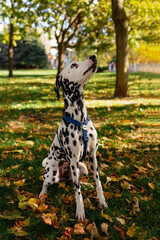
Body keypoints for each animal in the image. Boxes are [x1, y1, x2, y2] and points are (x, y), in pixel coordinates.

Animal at [39, 54, 107, 221]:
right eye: (74, 65)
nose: (93, 56)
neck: (80, 120)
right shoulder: (74, 160)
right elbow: (77, 192)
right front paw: (80, 211)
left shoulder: (92, 157)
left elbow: (98, 182)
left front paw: (102, 202)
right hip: (53, 173)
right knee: (46, 182)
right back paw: (42, 193)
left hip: (82, 169)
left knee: (75, 181)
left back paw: (86, 184)